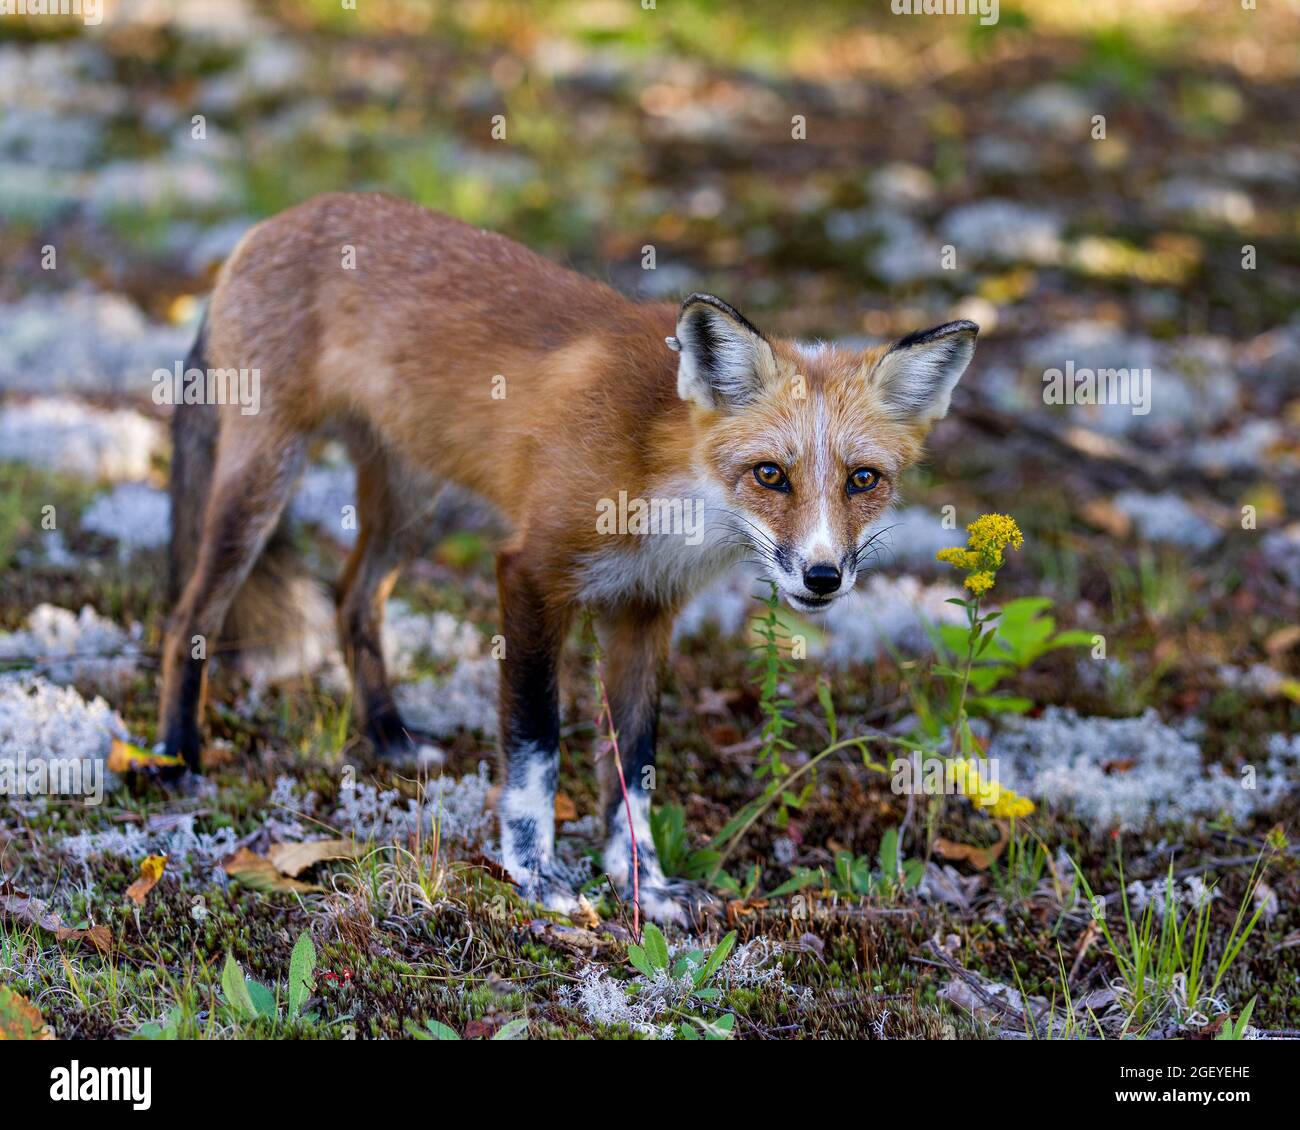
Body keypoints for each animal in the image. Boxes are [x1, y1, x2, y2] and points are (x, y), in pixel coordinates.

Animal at [159, 192, 977, 922]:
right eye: (770, 474)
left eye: (863, 480)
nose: (822, 576)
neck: (665, 484)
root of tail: (270, 223)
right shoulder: (531, 573)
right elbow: (536, 742)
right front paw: (535, 871)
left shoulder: (645, 609)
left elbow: (634, 767)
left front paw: (644, 881)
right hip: (263, 481)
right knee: (186, 617)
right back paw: (177, 757)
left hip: (411, 503)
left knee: (351, 598)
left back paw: (387, 734)